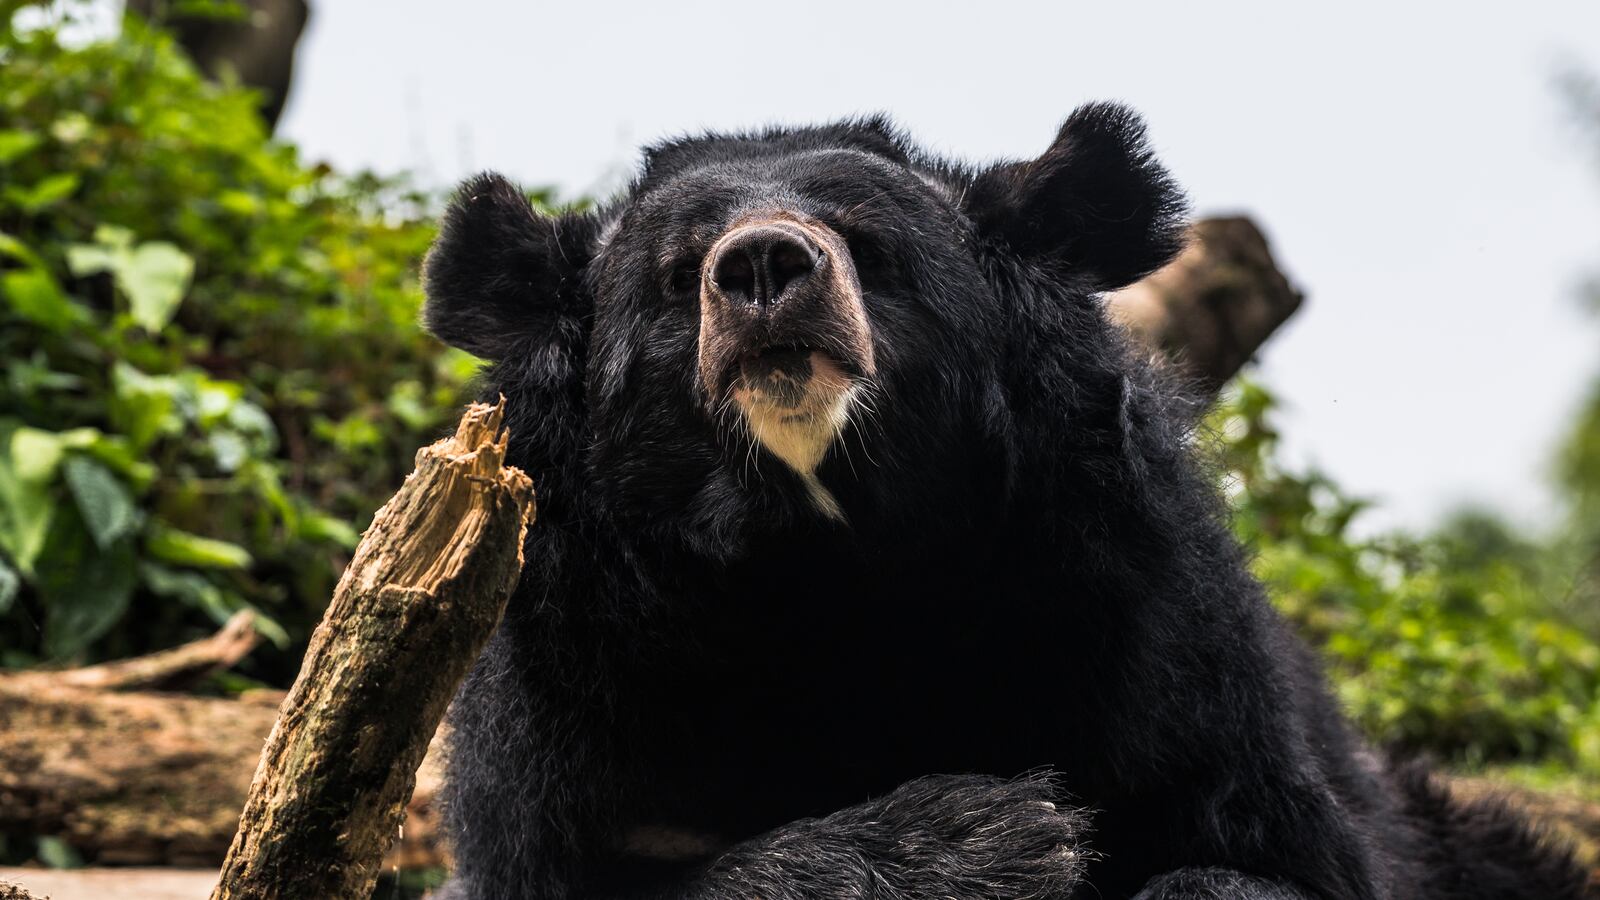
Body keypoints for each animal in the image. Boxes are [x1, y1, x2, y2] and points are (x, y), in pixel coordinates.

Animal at [420, 104, 1592, 899]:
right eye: (675, 276)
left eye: (869, 245)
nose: (761, 267)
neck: (823, 560)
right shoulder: (573, 679)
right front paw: (988, 838)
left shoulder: (1149, 620)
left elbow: (1261, 852)